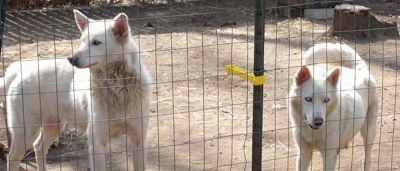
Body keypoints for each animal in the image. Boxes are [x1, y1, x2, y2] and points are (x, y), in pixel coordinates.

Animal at [290, 42, 376, 171]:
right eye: (308, 99)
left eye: (326, 100)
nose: (318, 121)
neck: (314, 132)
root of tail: (359, 69)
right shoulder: (303, 152)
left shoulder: (329, 156)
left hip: (368, 133)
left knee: (367, 158)